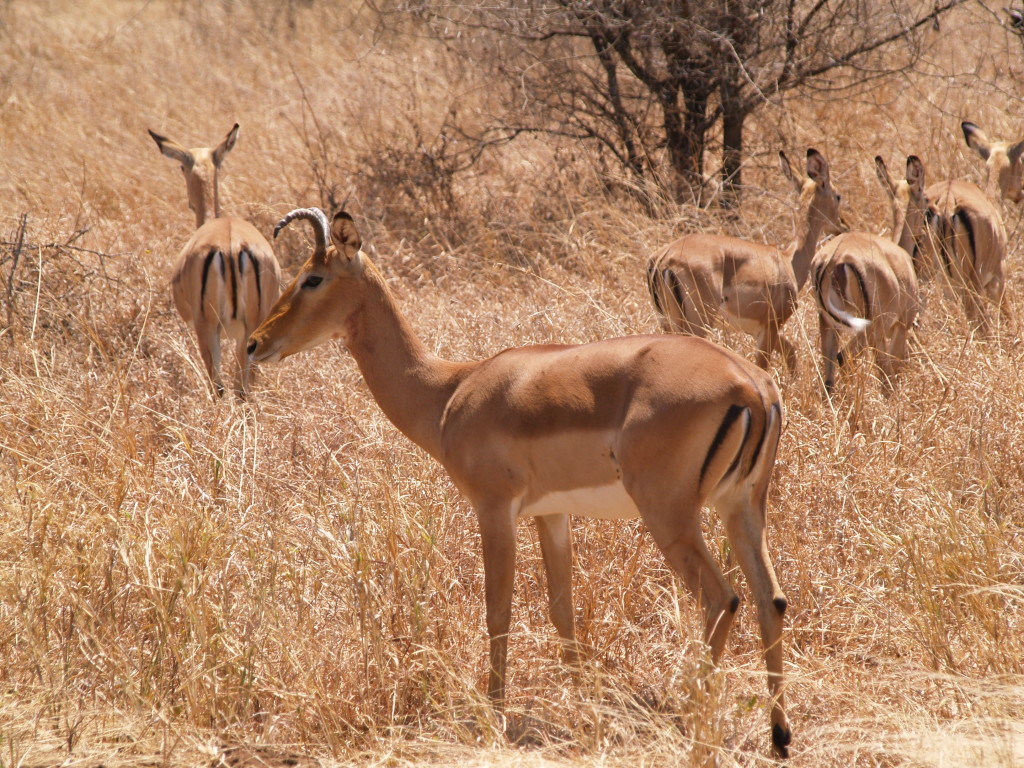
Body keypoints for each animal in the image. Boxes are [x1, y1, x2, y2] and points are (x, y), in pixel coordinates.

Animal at [149, 123, 282, 399]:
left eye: (181, 167)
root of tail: (230, 245)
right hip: (253, 329)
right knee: (244, 387)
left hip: (208, 328)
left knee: (222, 387)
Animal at [249, 207, 798, 761]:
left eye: (312, 277)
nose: (255, 343)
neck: (449, 393)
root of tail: (751, 385)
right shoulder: (550, 513)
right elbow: (563, 612)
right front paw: (583, 712)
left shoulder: (494, 508)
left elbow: (498, 611)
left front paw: (495, 717)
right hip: (742, 506)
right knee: (769, 598)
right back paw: (778, 737)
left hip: (670, 515)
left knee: (721, 600)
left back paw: (696, 731)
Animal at [647, 148, 847, 372]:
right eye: (838, 196)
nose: (843, 225)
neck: (788, 261)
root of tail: (663, 259)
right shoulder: (769, 327)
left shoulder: (756, 330)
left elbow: (791, 352)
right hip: (696, 323)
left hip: (668, 322)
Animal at [811, 158, 925, 393]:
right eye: (926, 198)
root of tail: (833, 259)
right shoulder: (901, 326)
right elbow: (890, 372)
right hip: (868, 325)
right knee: (844, 358)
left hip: (829, 322)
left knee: (828, 375)